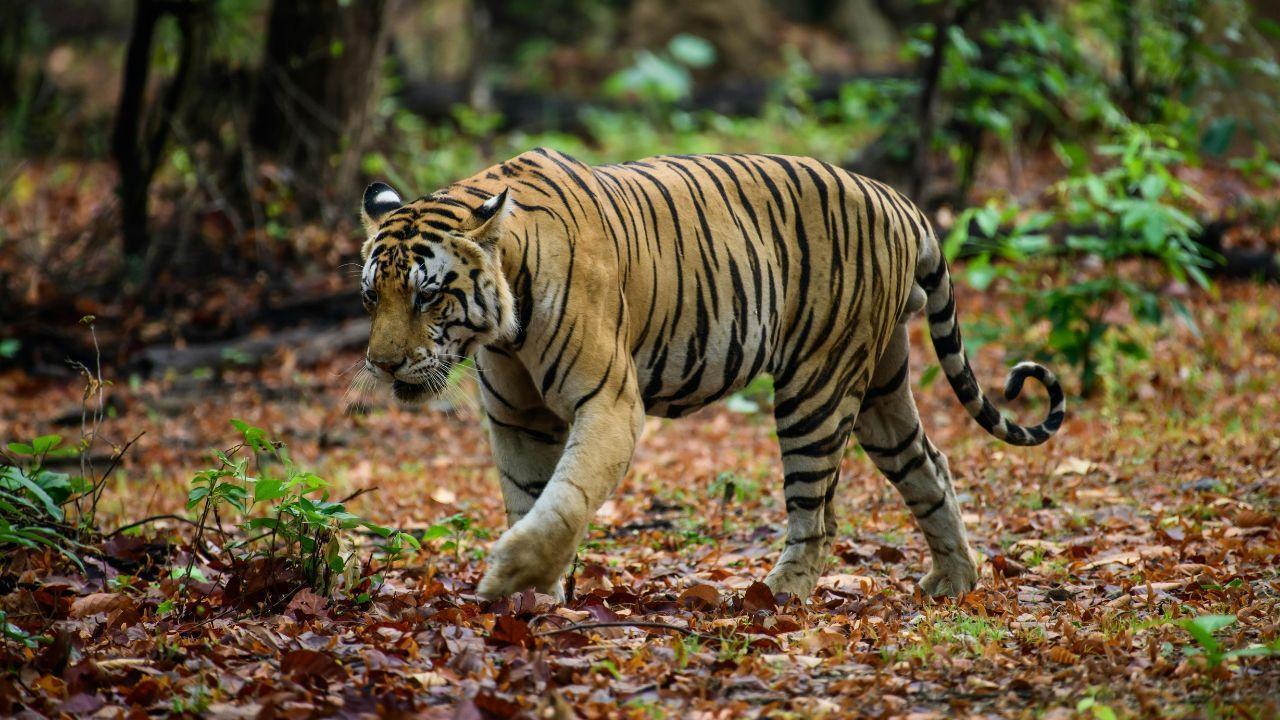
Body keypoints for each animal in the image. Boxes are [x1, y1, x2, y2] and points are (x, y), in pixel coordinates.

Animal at [356, 148, 1065, 601]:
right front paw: (533, 597)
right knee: (929, 465)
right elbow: (529, 496)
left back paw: (777, 595)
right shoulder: (518, 417)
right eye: (371, 297)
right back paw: (955, 581)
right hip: (880, 387)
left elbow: (566, 497)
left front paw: (508, 577)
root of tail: (897, 199)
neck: (503, 324)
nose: (383, 365)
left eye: (427, 296)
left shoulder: (609, 403)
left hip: (817, 384)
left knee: (817, 513)